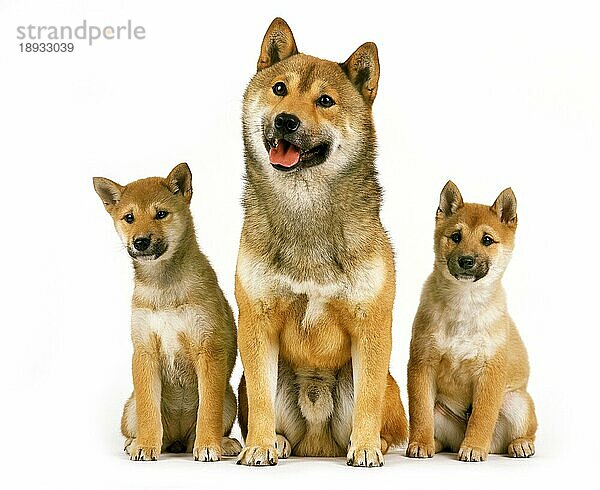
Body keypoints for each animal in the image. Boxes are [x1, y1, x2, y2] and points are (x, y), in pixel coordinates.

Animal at [93, 163, 241, 462]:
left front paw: (208, 446)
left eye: (160, 214)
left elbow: (208, 410)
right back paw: (135, 442)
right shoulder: (144, 352)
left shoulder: (209, 349)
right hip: (130, 407)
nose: (140, 241)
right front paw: (146, 446)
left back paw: (223, 443)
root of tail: (178, 442)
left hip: (229, 398)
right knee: (140, 425)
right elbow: (149, 409)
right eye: (129, 218)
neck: (163, 288)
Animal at [234, 16, 408, 468]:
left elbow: (367, 402)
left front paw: (365, 448)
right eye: (280, 89)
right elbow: (260, 399)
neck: (306, 211)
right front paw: (259, 445)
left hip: (383, 383)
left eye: (326, 101)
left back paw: (370, 444)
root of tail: (317, 446)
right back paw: (279, 443)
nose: (285, 121)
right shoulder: (256, 322)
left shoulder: (372, 324)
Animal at [406, 182, 536, 462]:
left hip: (517, 401)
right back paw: (434, 442)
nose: (466, 260)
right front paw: (419, 443)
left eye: (487, 240)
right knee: (438, 431)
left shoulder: (490, 371)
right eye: (456, 236)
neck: (464, 302)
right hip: (440, 410)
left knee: (524, 430)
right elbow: (419, 412)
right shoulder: (422, 364)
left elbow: (482, 416)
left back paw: (519, 444)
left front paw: (474, 446)